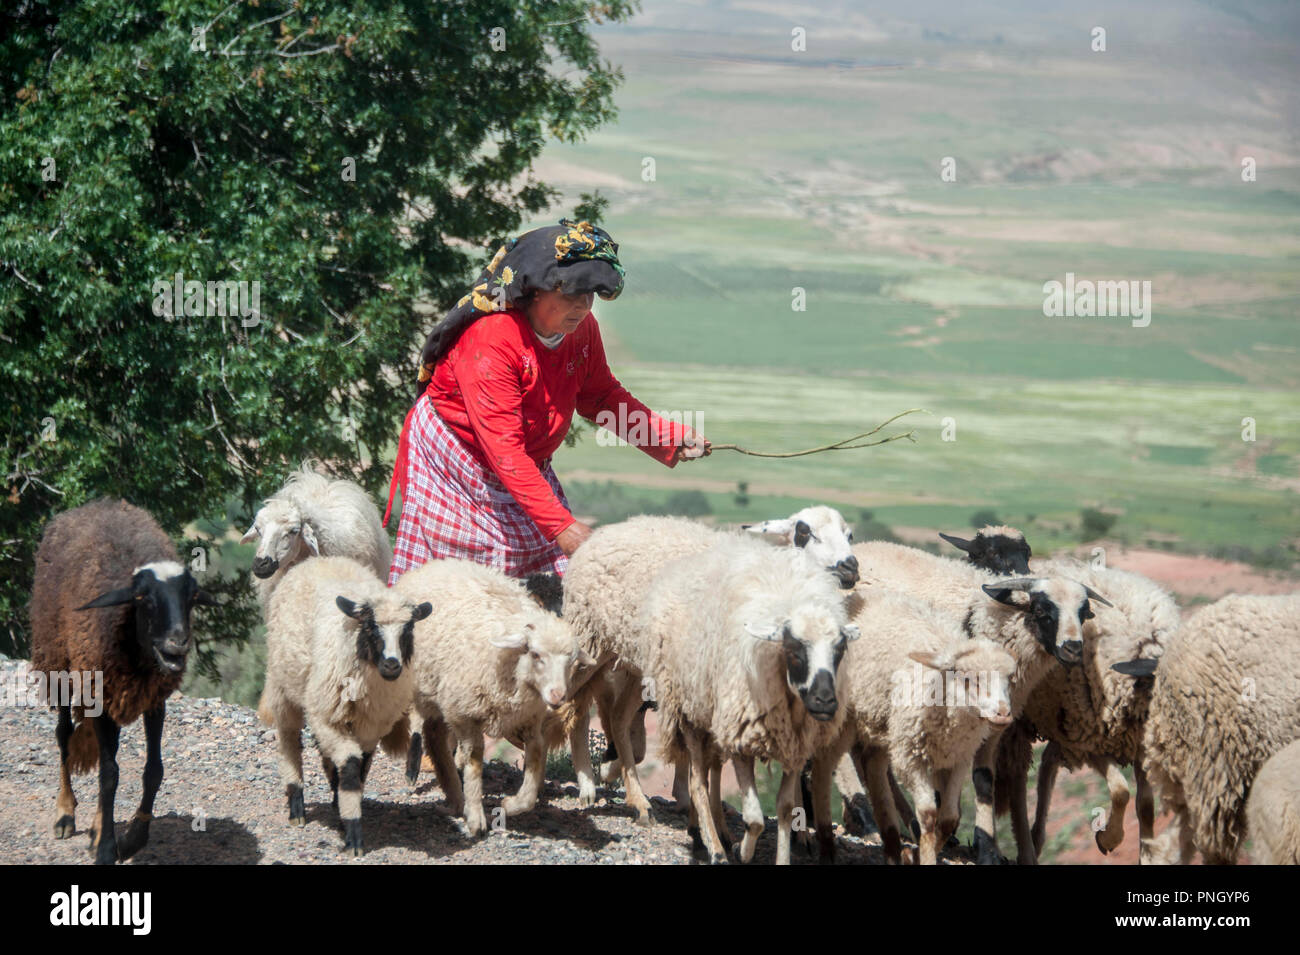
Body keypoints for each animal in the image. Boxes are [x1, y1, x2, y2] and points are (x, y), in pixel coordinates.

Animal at [258, 556, 431, 857]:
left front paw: (343, 810)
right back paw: (296, 806)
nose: (392, 665)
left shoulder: (370, 726)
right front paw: (353, 836)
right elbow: (350, 768)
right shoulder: (328, 719)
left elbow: (360, 768)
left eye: (408, 629)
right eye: (370, 627)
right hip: (284, 689)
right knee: (290, 743)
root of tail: (319, 559)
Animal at [392, 561, 595, 836]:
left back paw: (455, 797)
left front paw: (512, 805)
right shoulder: (466, 715)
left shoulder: (529, 720)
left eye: (572, 660)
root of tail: (432, 565)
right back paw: (455, 795)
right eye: (535, 654)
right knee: (433, 737)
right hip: (432, 692)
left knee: (434, 735)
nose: (557, 696)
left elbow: (535, 762)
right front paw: (476, 818)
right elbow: (474, 763)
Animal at [634, 537, 857, 867]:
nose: (826, 701)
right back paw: (714, 848)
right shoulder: (741, 740)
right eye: (793, 650)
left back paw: (703, 833)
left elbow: (785, 809)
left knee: (708, 774)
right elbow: (754, 818)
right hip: (687, 711)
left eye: (839, 649)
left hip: (710, 719)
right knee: (697, 783)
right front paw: (743, 851)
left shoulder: (794, 746)